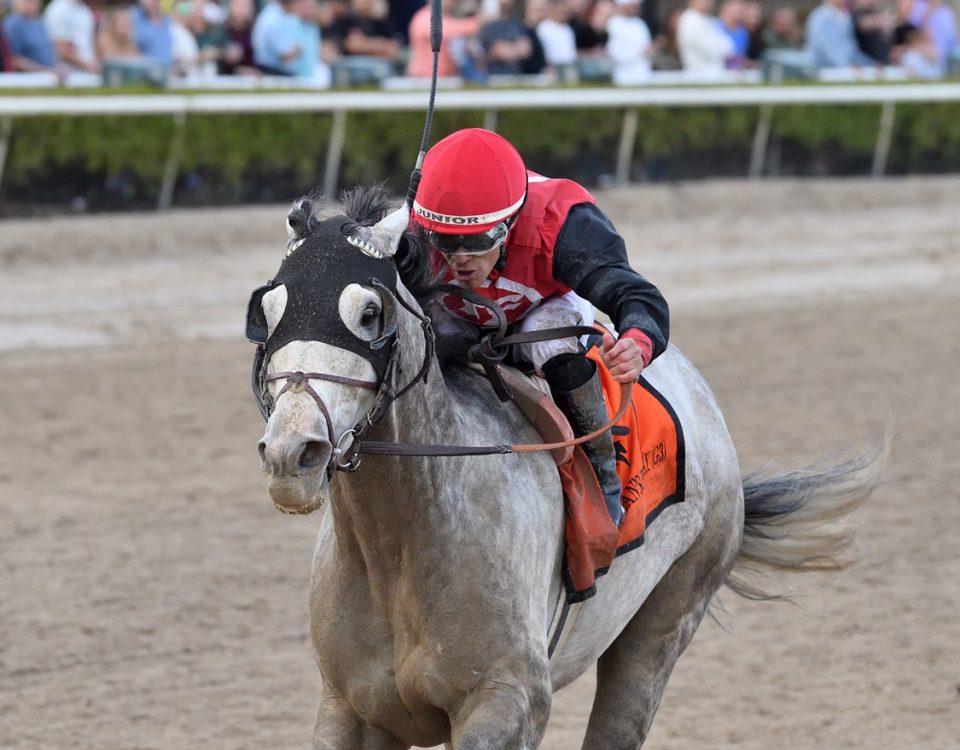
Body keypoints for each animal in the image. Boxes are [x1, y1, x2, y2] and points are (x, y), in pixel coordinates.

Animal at [249, 188, 876, 750]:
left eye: (369, 312)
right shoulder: (350, 710)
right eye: (270, 312)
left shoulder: (509, 703)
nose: (292, 453)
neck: (397, 548)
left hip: (665, 624)